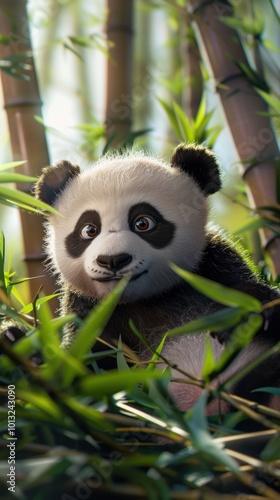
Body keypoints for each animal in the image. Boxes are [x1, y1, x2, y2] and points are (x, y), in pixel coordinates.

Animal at [34, 142, 280, 414]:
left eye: (143, 223)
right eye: (89, 229)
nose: (113, 260)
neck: (147, 298)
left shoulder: (213, 265)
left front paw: (242, 312)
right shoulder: (89, 313)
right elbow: (84, 368)